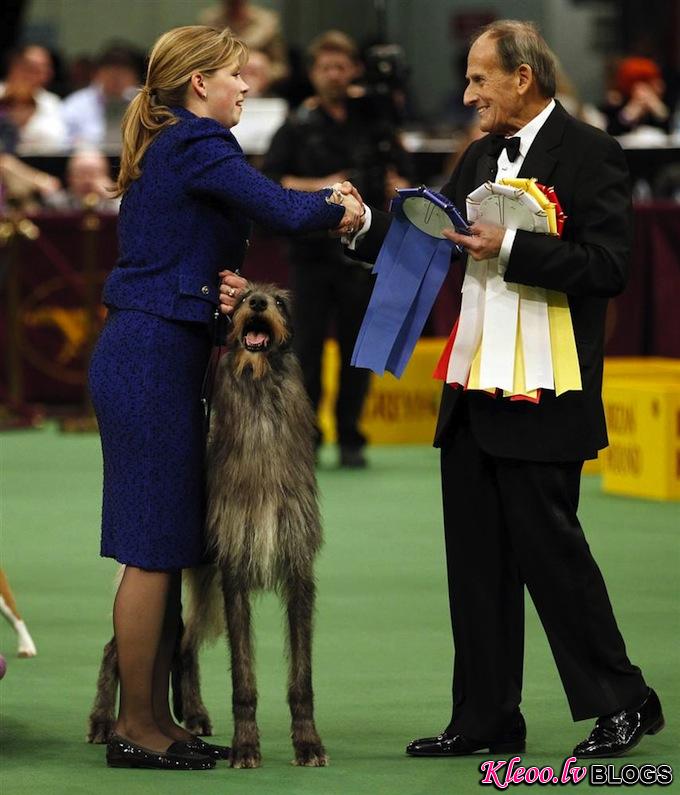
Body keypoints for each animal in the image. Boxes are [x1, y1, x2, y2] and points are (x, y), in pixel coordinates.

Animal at [87, 282, 326, 768]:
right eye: (244, 297)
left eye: (279, 302)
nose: (255, 303)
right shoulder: (233, 574)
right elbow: (244, 678)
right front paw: (247, 745)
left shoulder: (297, 571)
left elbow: (302, 678)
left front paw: (308, 743)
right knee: (118, 646)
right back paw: (105, 722)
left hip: (198, 583)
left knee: (182, 645)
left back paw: (192, 717)